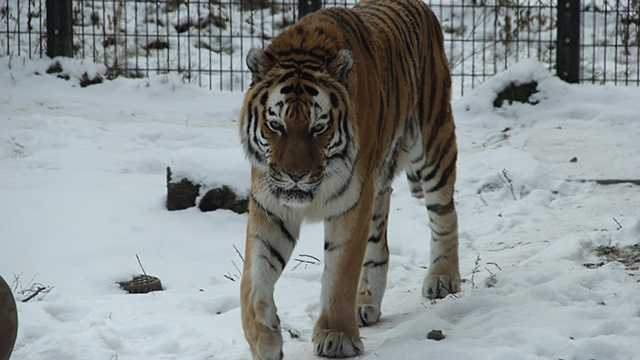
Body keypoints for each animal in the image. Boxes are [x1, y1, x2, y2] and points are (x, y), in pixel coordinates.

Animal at [238, 0, 458, 358]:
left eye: (318, 127)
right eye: (276, 126)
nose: (296, 175)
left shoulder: (350, 203)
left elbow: (340, 273)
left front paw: (337, 336)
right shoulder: (270, 205)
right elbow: (253, 279)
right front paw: (264, 338)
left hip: (433, 145)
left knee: (445, 215)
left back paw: (443, 278)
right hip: (379, 184)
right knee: (379, 243)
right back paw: (365, 303)